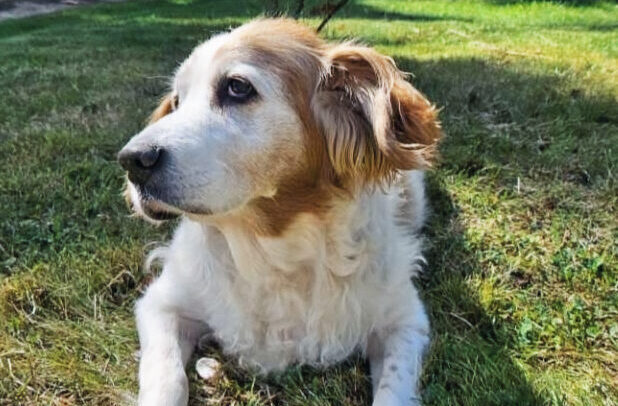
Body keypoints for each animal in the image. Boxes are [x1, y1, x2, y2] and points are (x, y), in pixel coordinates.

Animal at [118, 18, 441, 406]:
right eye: (178, 101)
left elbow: (394, 389)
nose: (131, 160)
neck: (273, 248)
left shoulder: (405, 321)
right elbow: (167, 377)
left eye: (237, 87)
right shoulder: (161, 304)